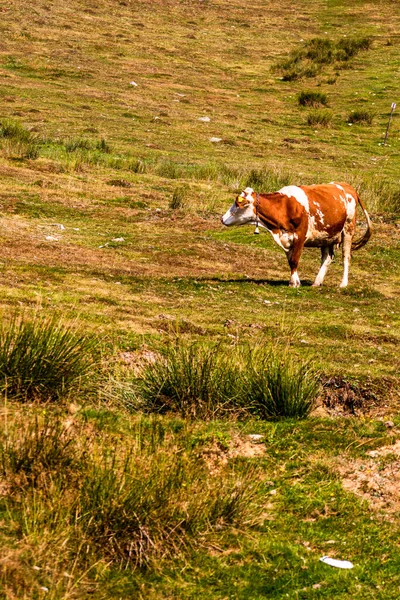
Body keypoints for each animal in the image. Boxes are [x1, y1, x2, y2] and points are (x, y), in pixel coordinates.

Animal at [220, 182, 370, 288]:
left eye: (238, 204)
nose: (222, 218)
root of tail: (347, 186)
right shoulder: (287, 238)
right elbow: (291, 261)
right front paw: (296, 281)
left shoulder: (300, 236)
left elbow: (294, 260)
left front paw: (293, 283)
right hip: (326, 235)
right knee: (327, 257)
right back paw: (316, 282)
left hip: (348, 229)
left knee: (346, 256)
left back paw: (343, 283)